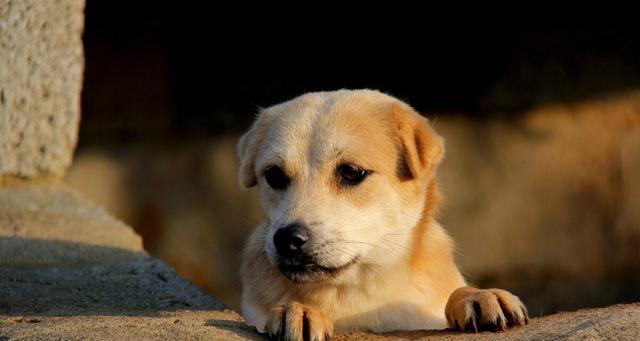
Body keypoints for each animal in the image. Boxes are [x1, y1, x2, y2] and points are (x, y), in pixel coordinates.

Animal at [238, 89, 528, 338]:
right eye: (274, 175)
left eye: (351, 172)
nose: (287, 239)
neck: (360, 294)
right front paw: (298, 309)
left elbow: (457, 293)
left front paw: (479, 296)